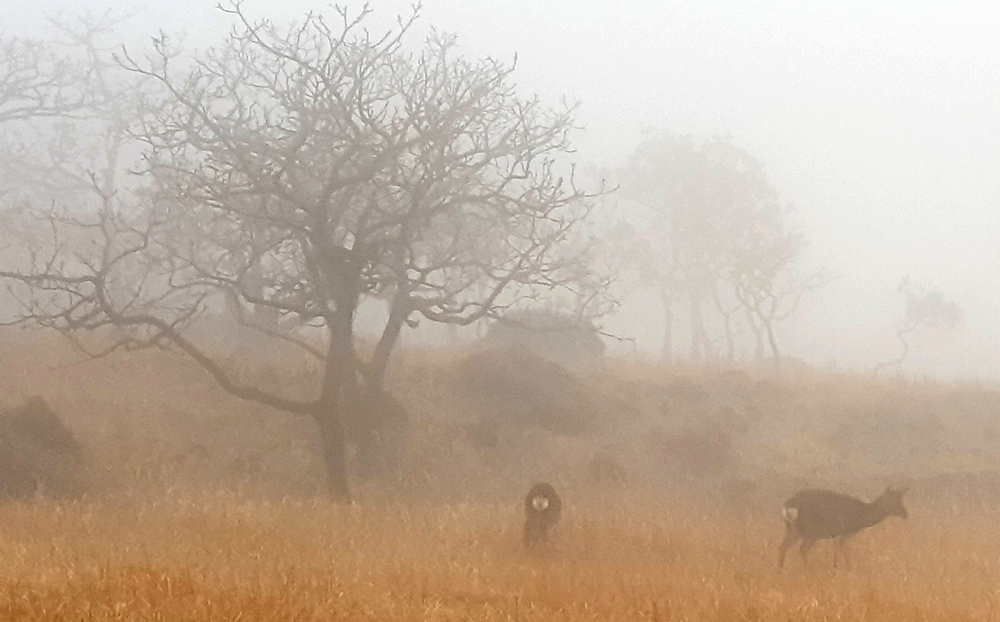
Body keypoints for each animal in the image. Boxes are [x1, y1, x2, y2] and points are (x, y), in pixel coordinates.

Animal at [776, 488, 912, 572]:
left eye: (901, 499)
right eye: (893, 501)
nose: (905, 514)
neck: (860, 517)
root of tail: (786, 505)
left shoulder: (839, 534)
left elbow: (839, 552)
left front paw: (837, 568)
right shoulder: (842, 531)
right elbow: (844, 552)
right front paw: (845, 569)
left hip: (795, 529)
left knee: (784, 546)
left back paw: (781, 570)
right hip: (809, 530)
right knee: (801, 549)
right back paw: (807, 570)